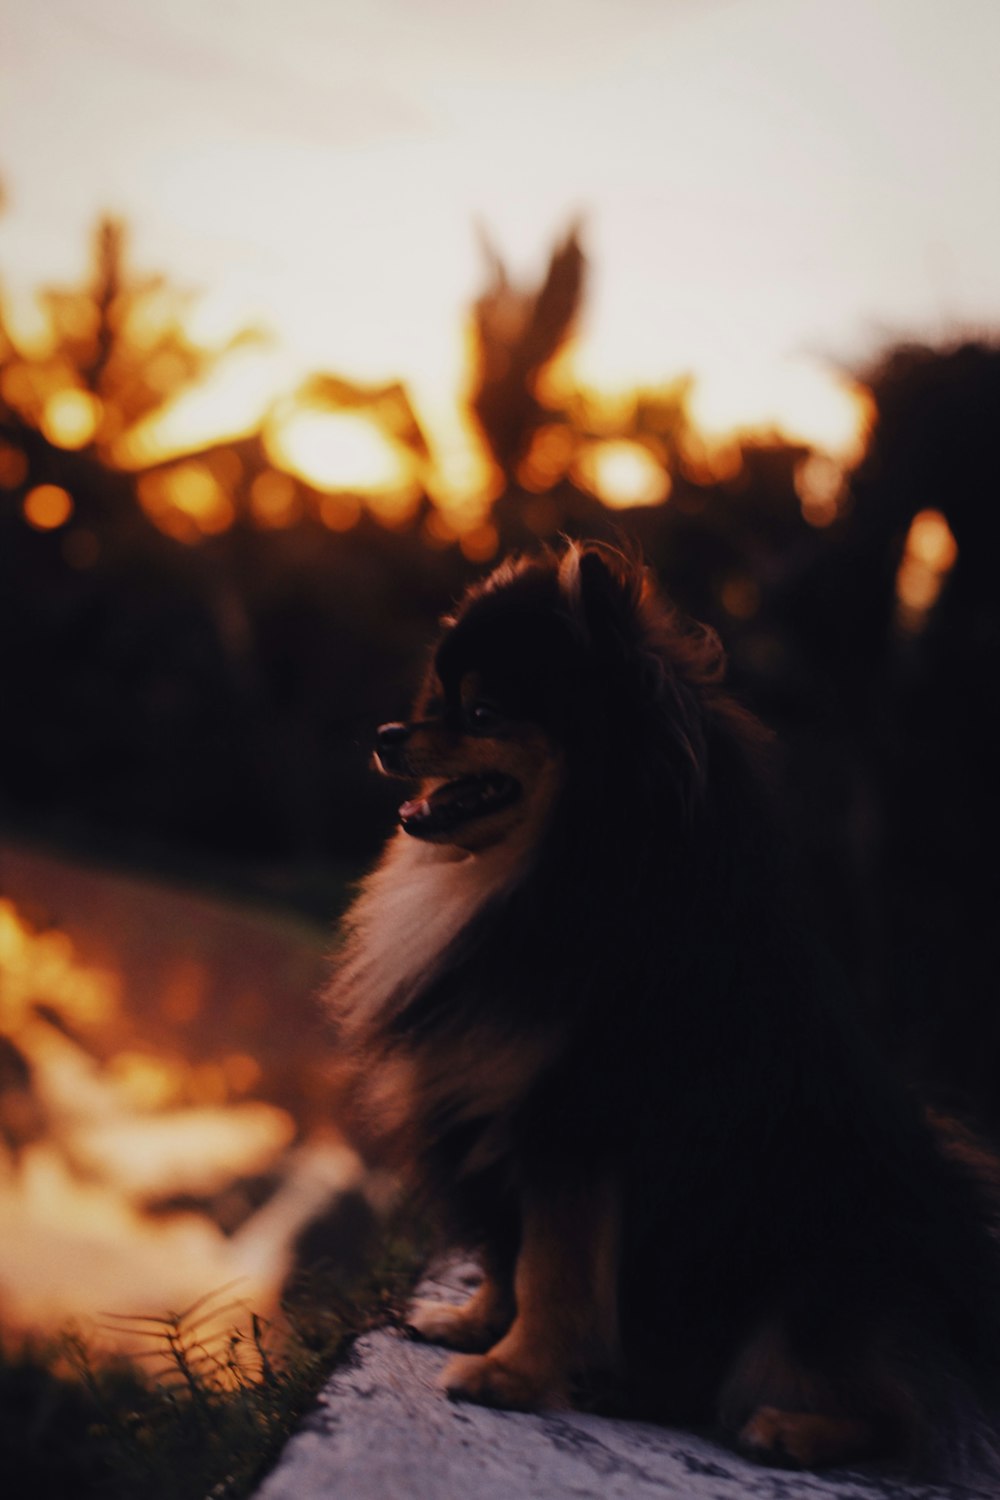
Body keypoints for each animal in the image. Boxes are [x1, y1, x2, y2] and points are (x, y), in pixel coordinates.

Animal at [326, 540, 1000, 1476]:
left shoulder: (576, 1123)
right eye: (435, 700)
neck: (546, 876)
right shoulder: (490, 1120)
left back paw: (791, 1429)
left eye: (483, 711)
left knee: (899, 1418)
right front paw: (472, 1325)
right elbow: (503, 1252)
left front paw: (510, 1374)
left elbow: (551, 1268)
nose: (389, 735)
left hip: (811, 1275)